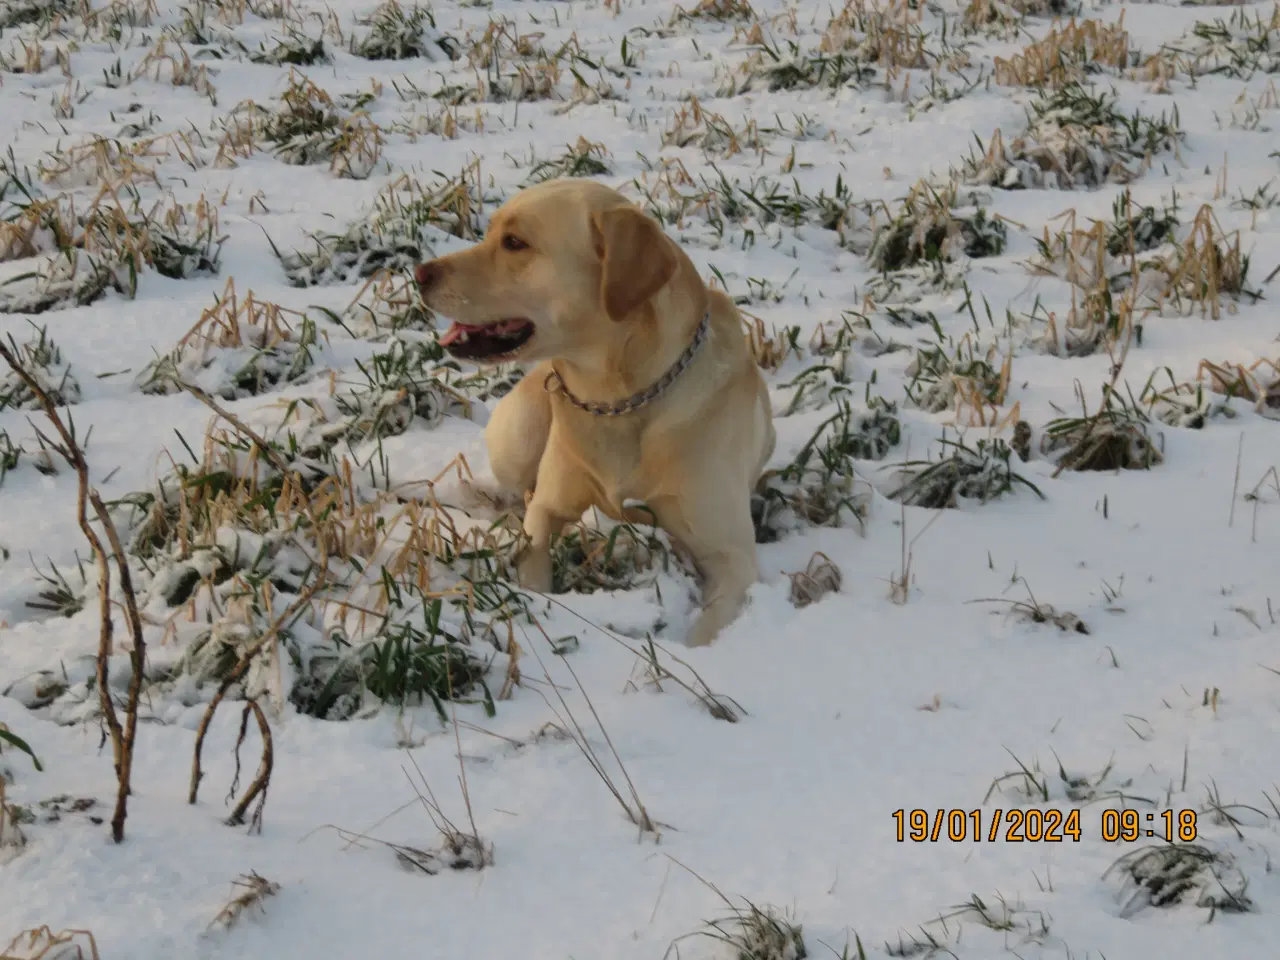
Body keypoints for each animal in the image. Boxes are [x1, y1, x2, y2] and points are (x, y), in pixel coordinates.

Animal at [419, 179, 773, 647]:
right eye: (491, 231)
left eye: (515, 243)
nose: (419, 274)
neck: (619, 400)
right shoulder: (547, 510)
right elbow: (535, 559)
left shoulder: (732, 557)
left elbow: (704, 635)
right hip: (519, 436)